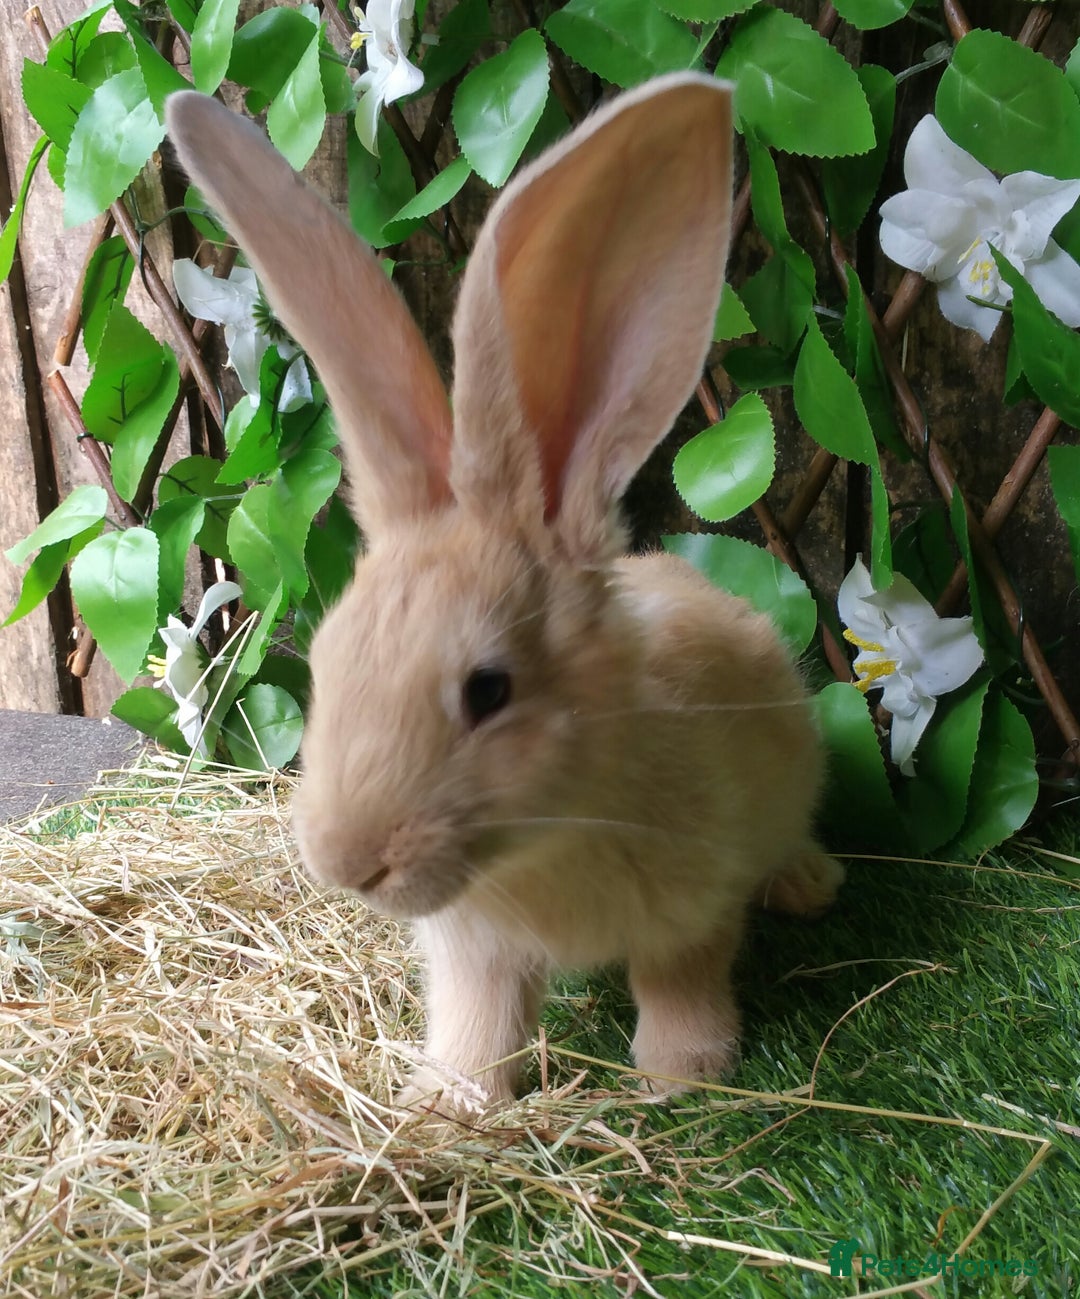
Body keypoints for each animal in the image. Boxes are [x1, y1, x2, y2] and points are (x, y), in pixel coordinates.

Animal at [166, 73, 843, 1115]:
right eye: (325, 668)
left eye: (489, 690)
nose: (350, 863)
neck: (549, 832)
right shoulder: (473, 949)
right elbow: (479, 1021)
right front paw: (447, 1103)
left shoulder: (694, 909)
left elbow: (681, 978)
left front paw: (680, 1074)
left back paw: (814, 884)